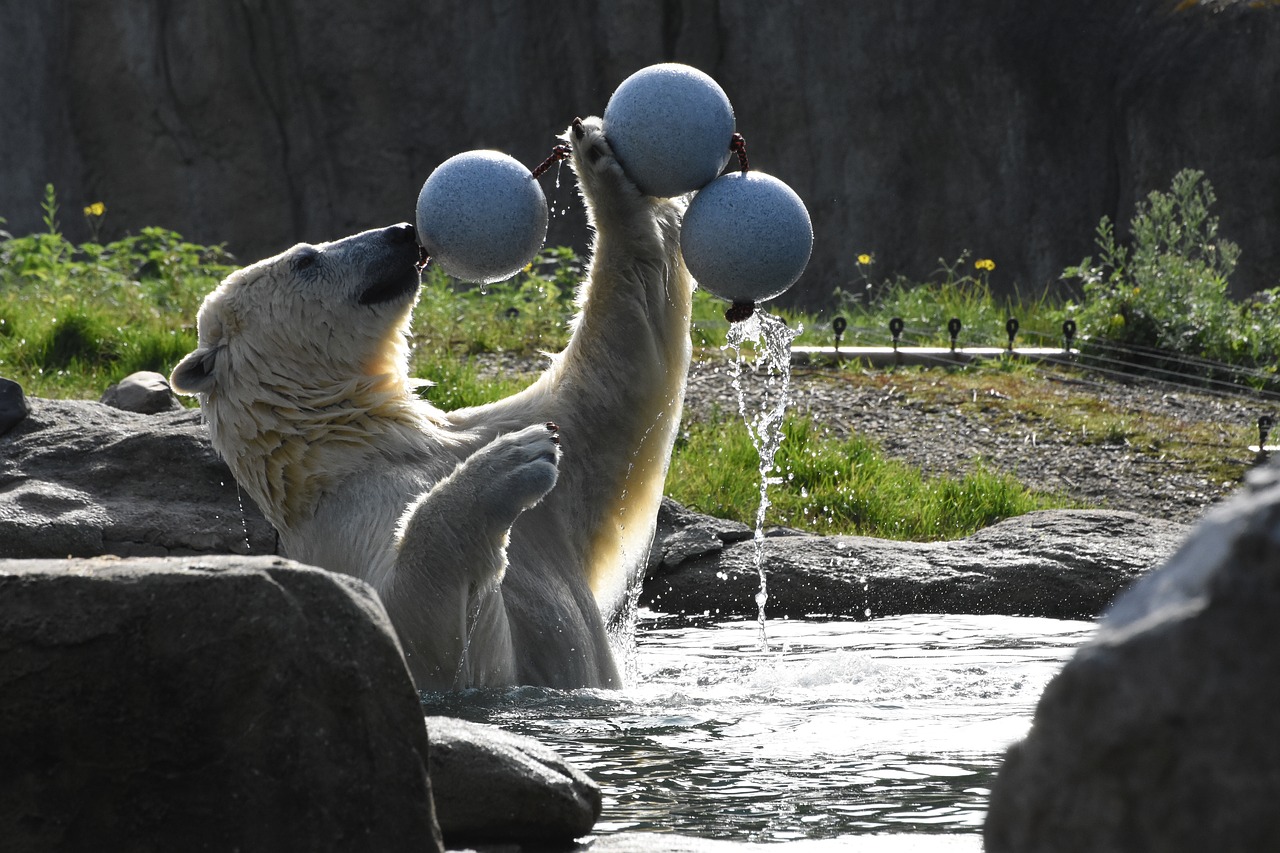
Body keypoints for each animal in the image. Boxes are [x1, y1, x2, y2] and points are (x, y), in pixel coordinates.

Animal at [171, 117, 696, 691]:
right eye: (305, 258)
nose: (402, 232)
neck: (350, 441)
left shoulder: (504, 438)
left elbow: (617, 374)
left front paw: (599, 153)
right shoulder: (342, 531)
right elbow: (421, 638)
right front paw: (512, 462)